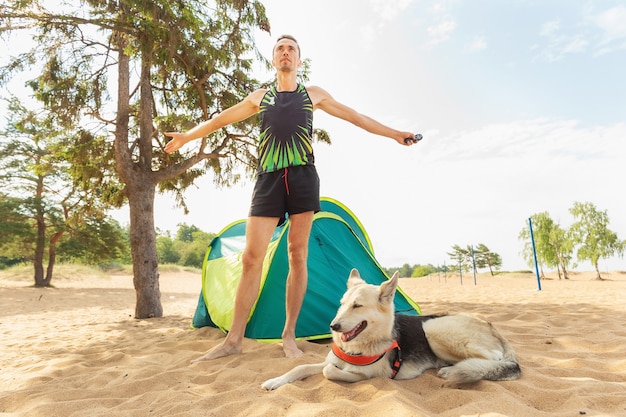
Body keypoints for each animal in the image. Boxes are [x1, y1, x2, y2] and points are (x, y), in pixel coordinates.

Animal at [260, 268, 520, 388]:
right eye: (342, 304)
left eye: (357, 305)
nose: (333, 325)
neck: (361, 345)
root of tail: (492, 327)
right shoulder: (329, 360)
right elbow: (301, 367)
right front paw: (275, 381)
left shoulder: (372, 374)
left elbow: (329, 372)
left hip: (434, 327)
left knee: (495, 361)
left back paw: (459, 369)